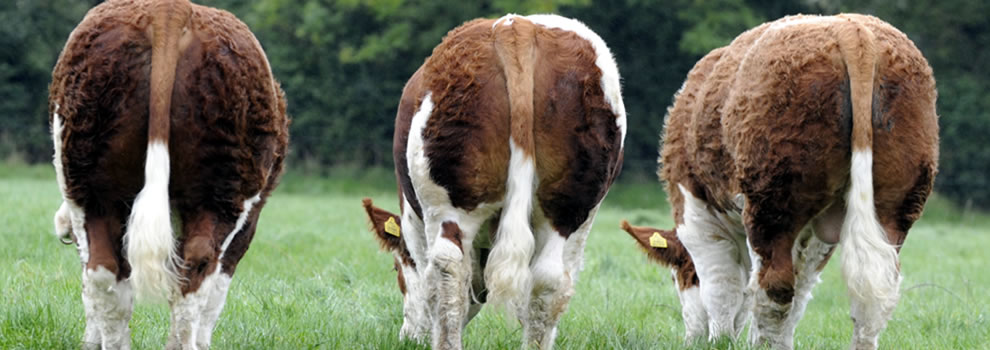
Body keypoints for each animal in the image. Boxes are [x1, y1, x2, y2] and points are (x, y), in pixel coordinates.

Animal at [49, 1, 288, 348]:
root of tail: (171, 9)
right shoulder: (249, 222)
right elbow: (218, 289)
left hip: (91, 185)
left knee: (104, 272)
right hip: (226, 192)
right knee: (198, 269)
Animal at [364, 14, 628, 350]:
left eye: (396, 269)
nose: (408, 338)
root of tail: (516, 27)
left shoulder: (413, 221)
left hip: (450, 202)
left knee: (448, 269)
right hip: (570, 205)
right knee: (548, 282)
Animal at [620, 13, 936, 350]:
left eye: (677, 275)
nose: (693, 337)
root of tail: (852, 28)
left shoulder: (695, 213)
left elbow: (722, 288)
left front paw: (719, 339)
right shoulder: (814, 236)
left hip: (772, 204)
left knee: (775, 287)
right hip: (894, 207)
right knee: (872, 292)